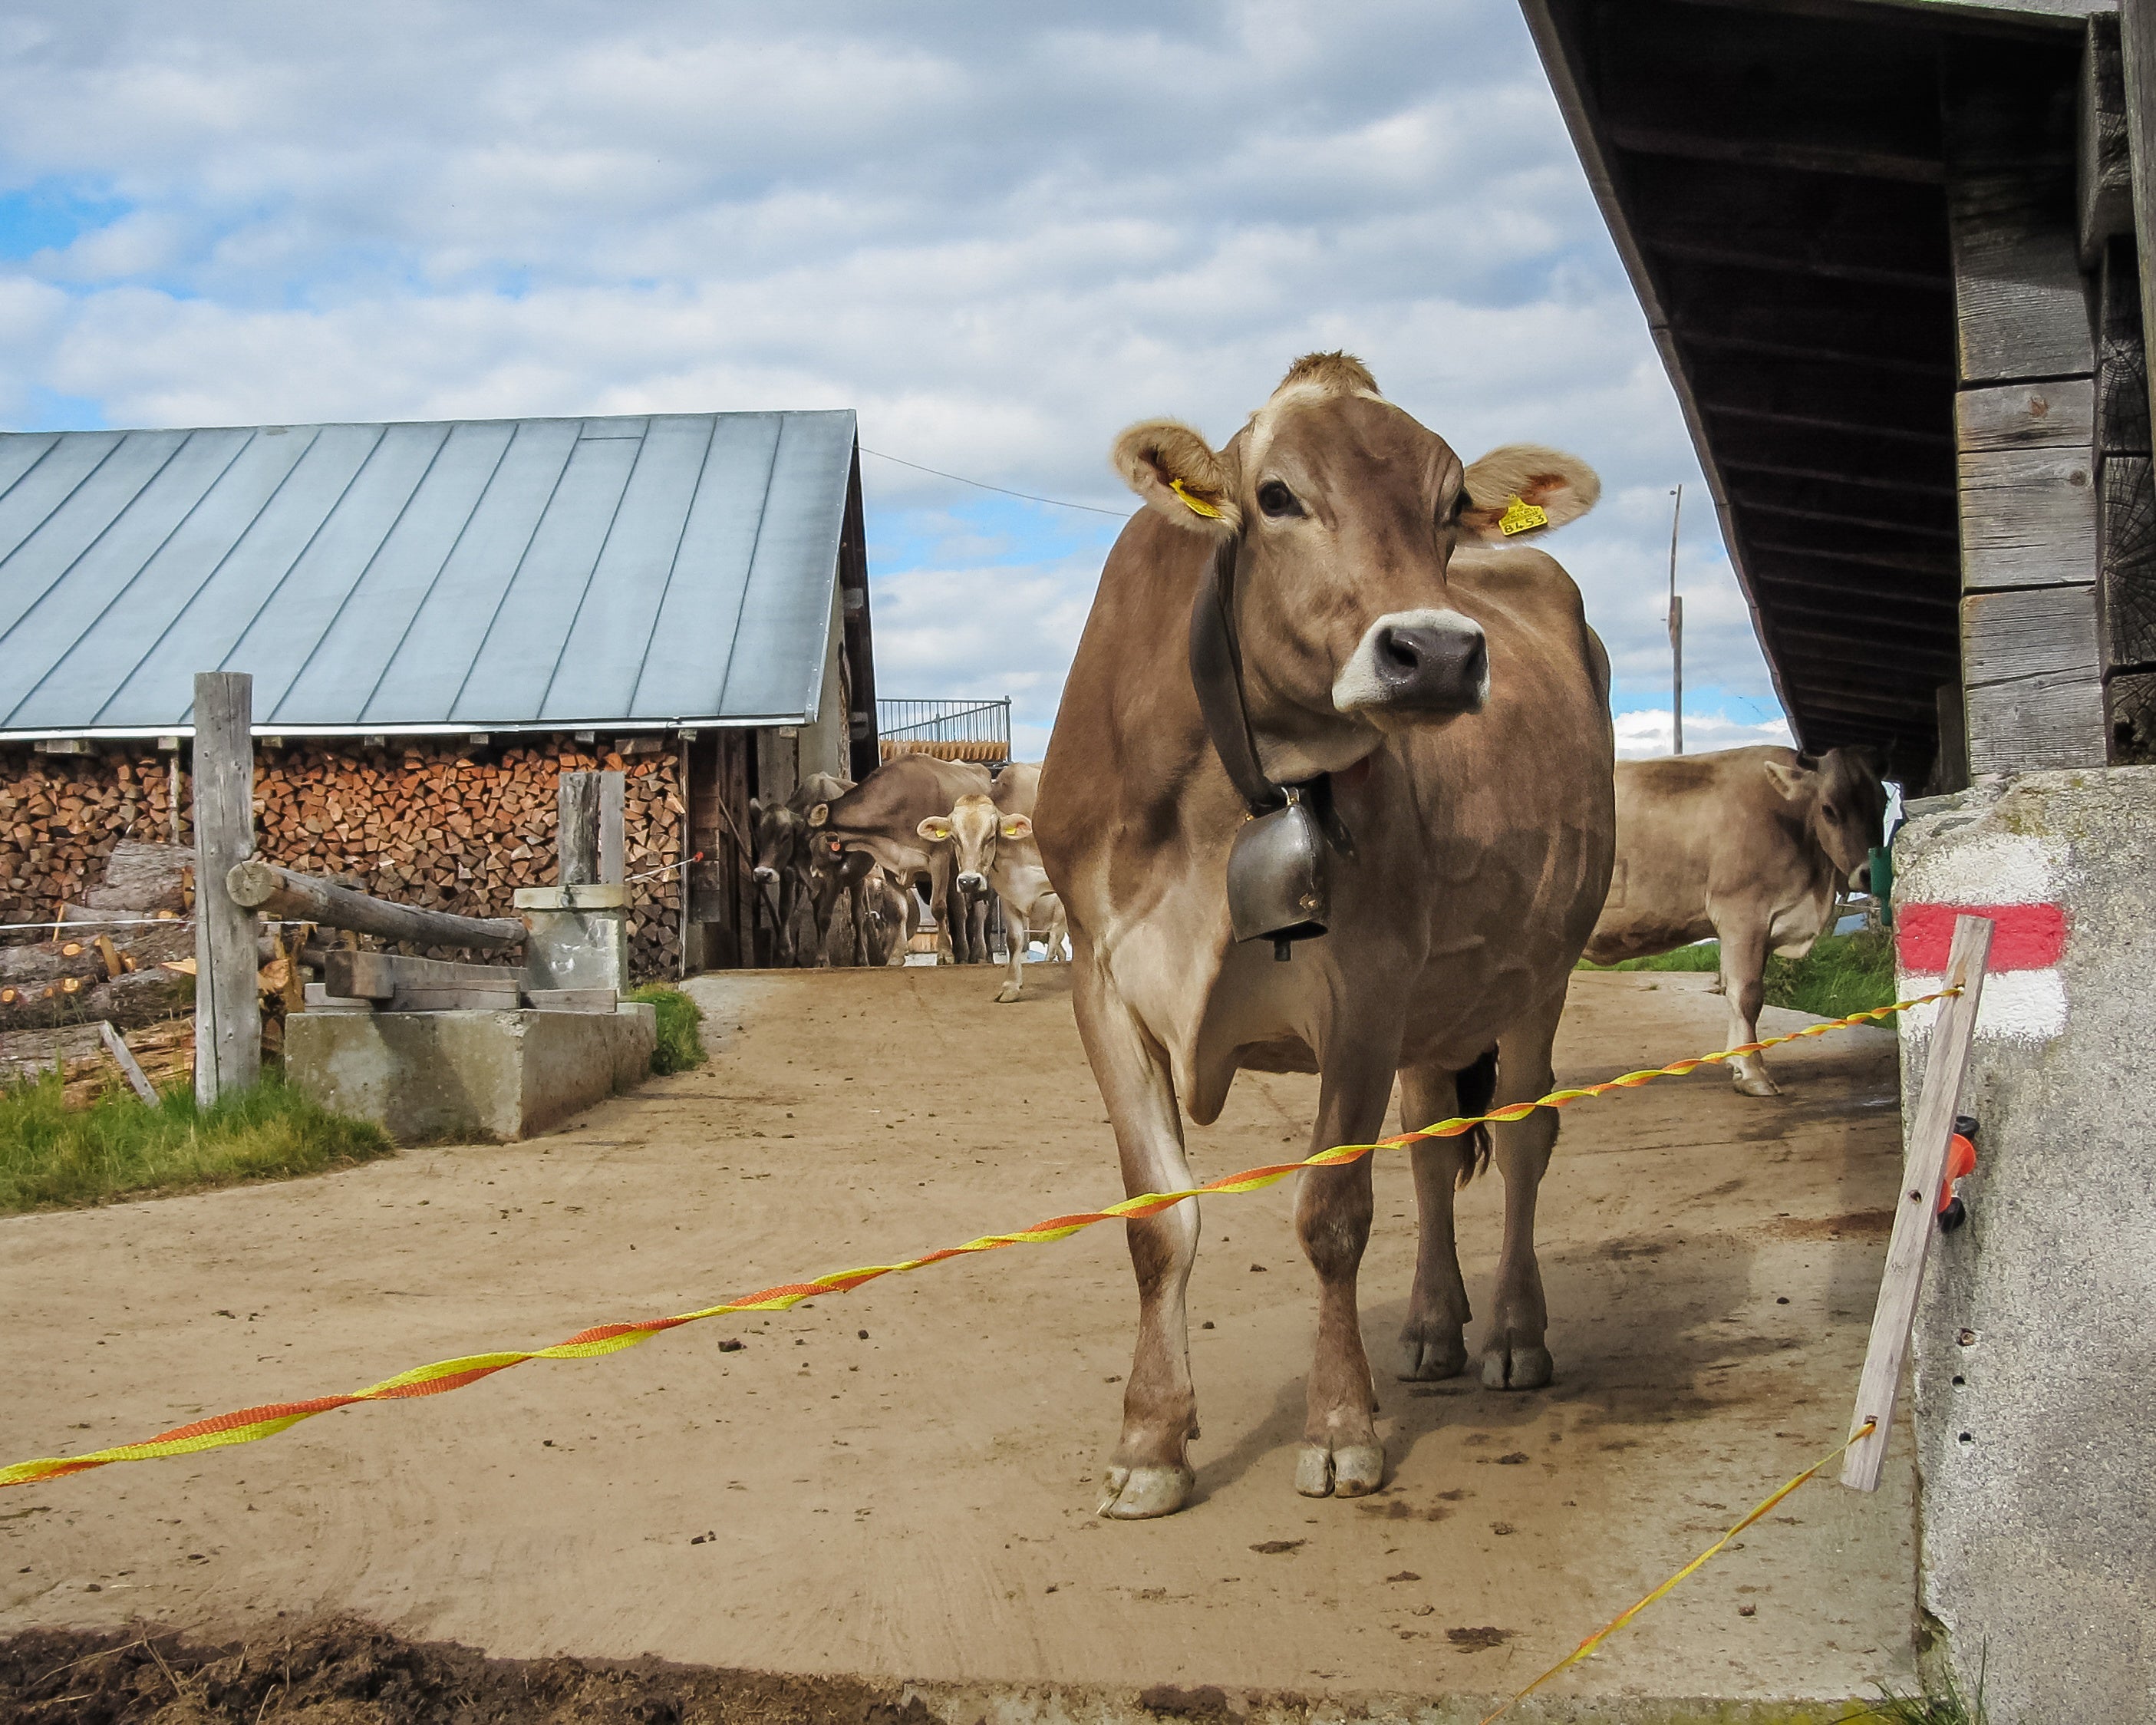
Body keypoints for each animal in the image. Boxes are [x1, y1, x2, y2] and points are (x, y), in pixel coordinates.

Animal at [810, 759, 991, 970]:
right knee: (959, 909)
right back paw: (962, 953)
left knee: (978, 912)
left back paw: (978, 955)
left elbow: (938, 908)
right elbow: (899, 912)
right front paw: (896, 956)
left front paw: (945, 955)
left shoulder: (940, 858)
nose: (814, 872)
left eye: (814, 840)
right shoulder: (891, 865)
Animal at [1034, 358, 1612, 1518]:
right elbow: (1157, 1224)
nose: (1436, 653)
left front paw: (1340, 1426)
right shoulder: (1103, 983)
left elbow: (1332, 1213)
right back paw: (1432, 1325)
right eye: (1275, 497)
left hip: (1540, 971)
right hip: (1442, 1006)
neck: (1220, 793)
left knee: (1523, 1134)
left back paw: (1513, 1332)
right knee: (1435, 1140)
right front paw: (1152, 1437)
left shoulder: (1366, 990)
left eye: (1448, 505)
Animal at [1587, 746, 1888, 1100]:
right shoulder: (1743, 914)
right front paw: (1754, 1074)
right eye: (1828, 808)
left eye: (1883, 801)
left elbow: (1736, 990)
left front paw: (1736, 1064)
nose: (1868, 873)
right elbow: (1747, 994)